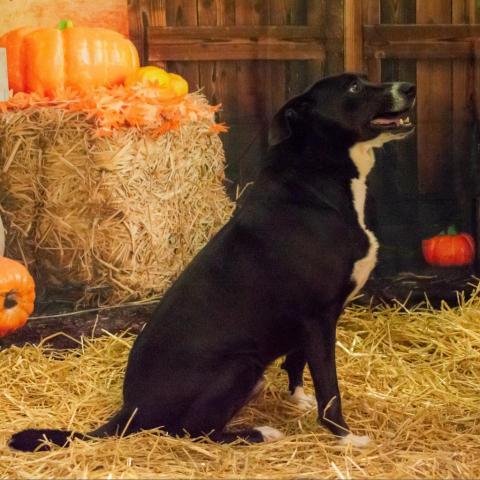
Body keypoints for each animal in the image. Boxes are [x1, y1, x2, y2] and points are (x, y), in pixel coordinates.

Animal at [11, 71, 416, 450]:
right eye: (353, 88)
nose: (410, 87)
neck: (317, 178)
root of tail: (132, 409)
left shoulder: (311, 318)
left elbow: (298, 362)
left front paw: (297, 399)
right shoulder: (318, 317)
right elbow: (329, 388)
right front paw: (345, 437)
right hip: (242, 364)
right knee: (192, 431)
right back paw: (259, 432)